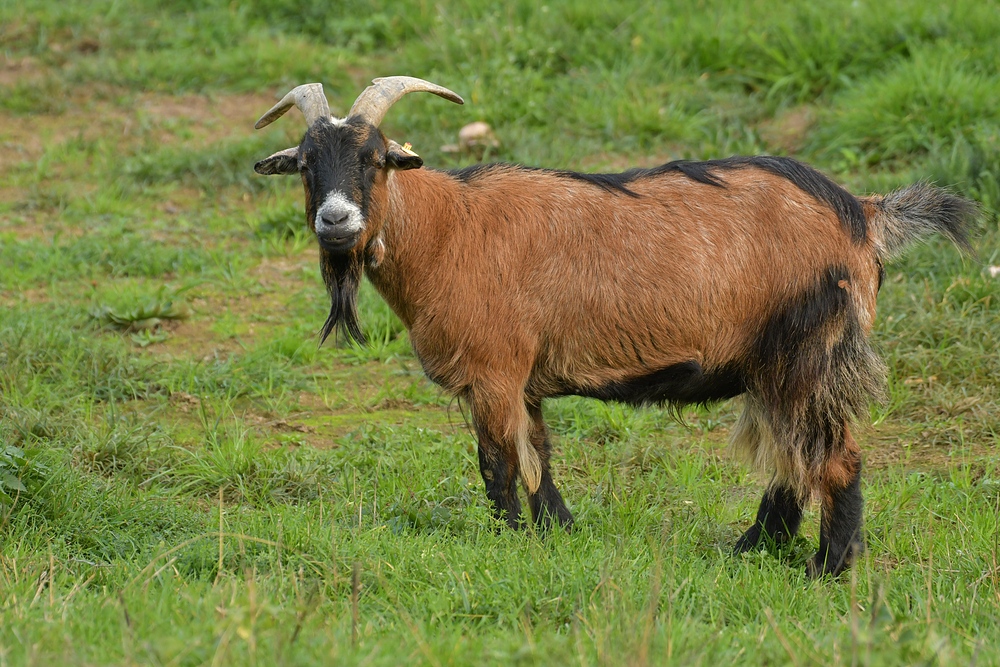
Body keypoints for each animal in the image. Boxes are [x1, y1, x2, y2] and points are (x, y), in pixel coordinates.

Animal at [252, 77, 976, 580]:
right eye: (307, 164)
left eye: (375, 158)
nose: (336, 221)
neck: (450, 231)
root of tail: (863, 213)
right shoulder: (524, 378)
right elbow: (539, 456)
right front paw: (559, 534)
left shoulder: (493, 371)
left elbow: (497, 463)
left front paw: (505, 543)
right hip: (775, 365)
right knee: (790, 460)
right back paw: (748, 549)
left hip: (809, 352)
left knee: (835, 456)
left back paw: (826, 567)